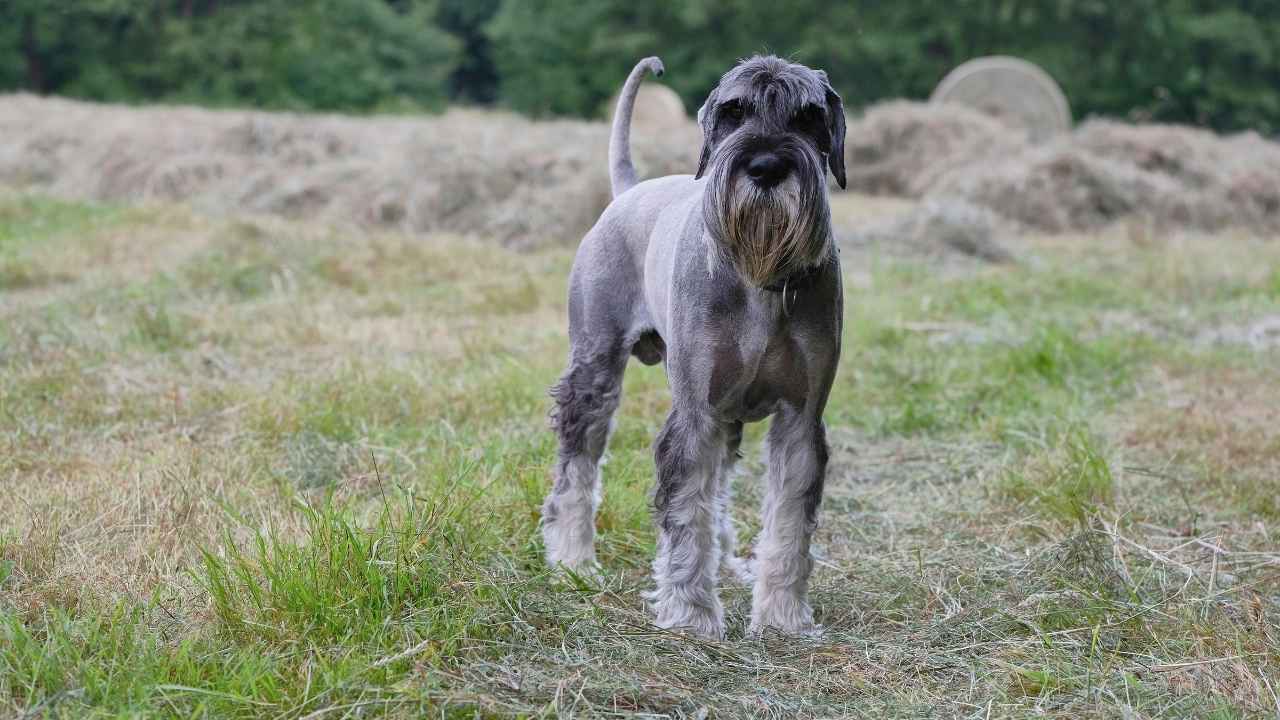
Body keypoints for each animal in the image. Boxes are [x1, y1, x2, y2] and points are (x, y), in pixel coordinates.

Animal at [537, 57, 839, 638]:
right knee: (577, 467)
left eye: (808, 117)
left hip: (730, 413)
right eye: (733, 111)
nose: (766, 166)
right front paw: (690, 614)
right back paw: (573, 560)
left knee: (720, 487)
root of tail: (628, 191)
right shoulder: (695, 413)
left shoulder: (800, 419)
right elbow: (685, 515)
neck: (759, 278)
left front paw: (782, 616)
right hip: (594, 373)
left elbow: (789, 522)